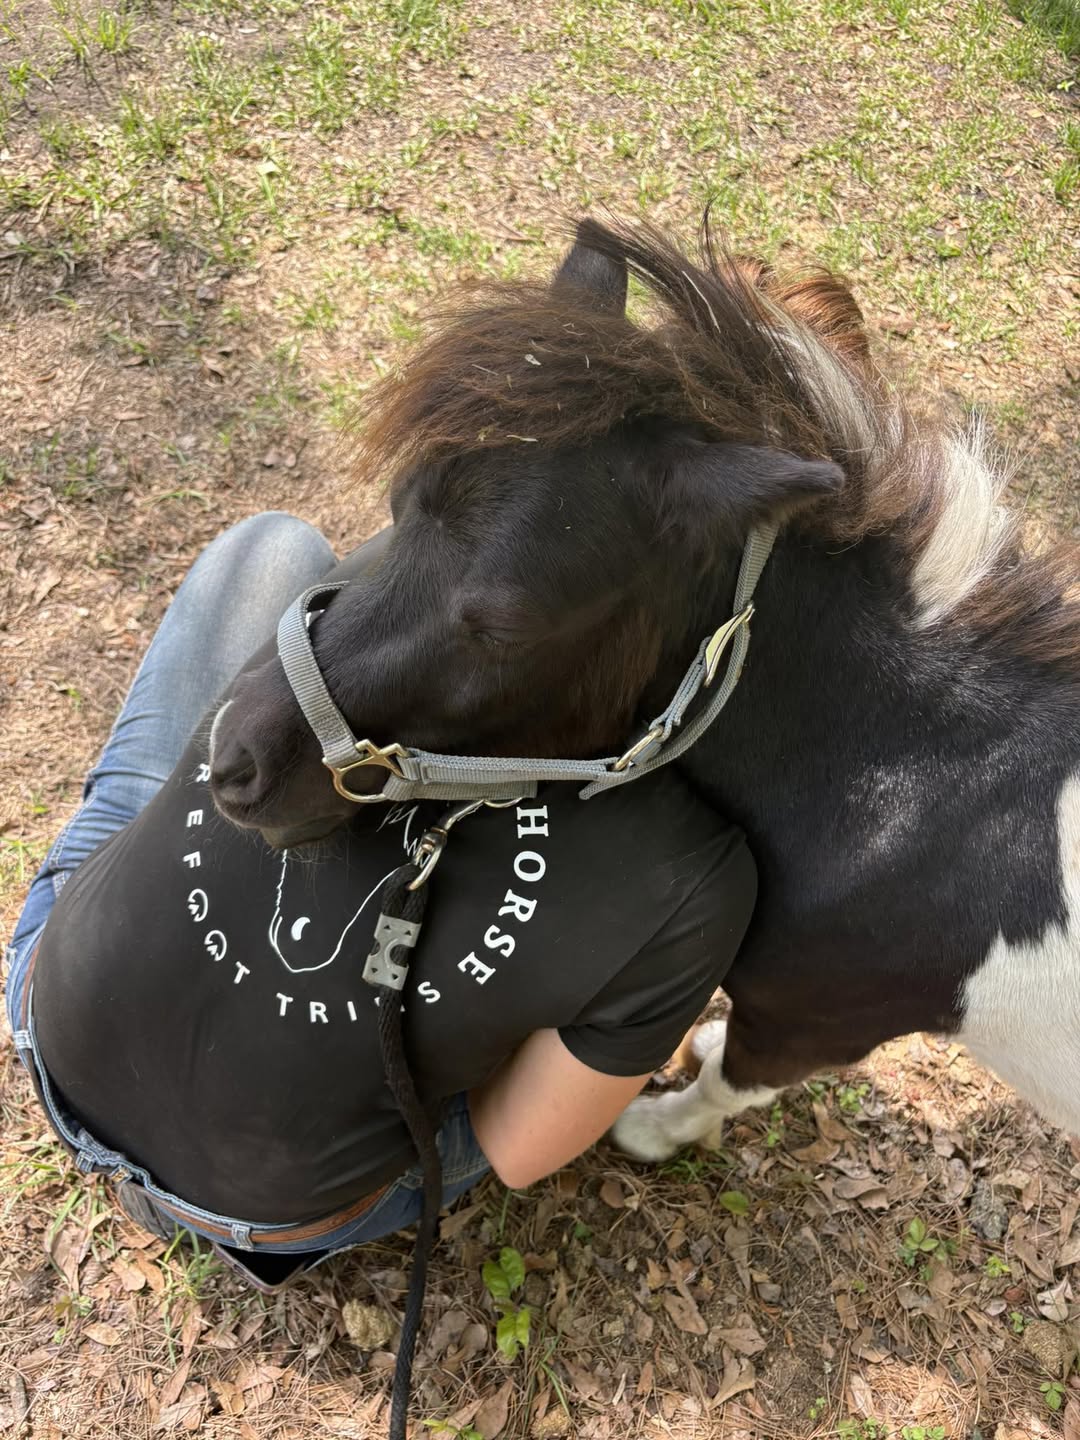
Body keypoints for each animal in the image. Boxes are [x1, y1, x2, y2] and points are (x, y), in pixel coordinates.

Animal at [208, 215, 1080, 1160]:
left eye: (507, 625)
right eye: (400, 504)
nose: (237, 755)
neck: (914, 795)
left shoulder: (809, 1022)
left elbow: (731, 1083)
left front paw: (654, 1127)